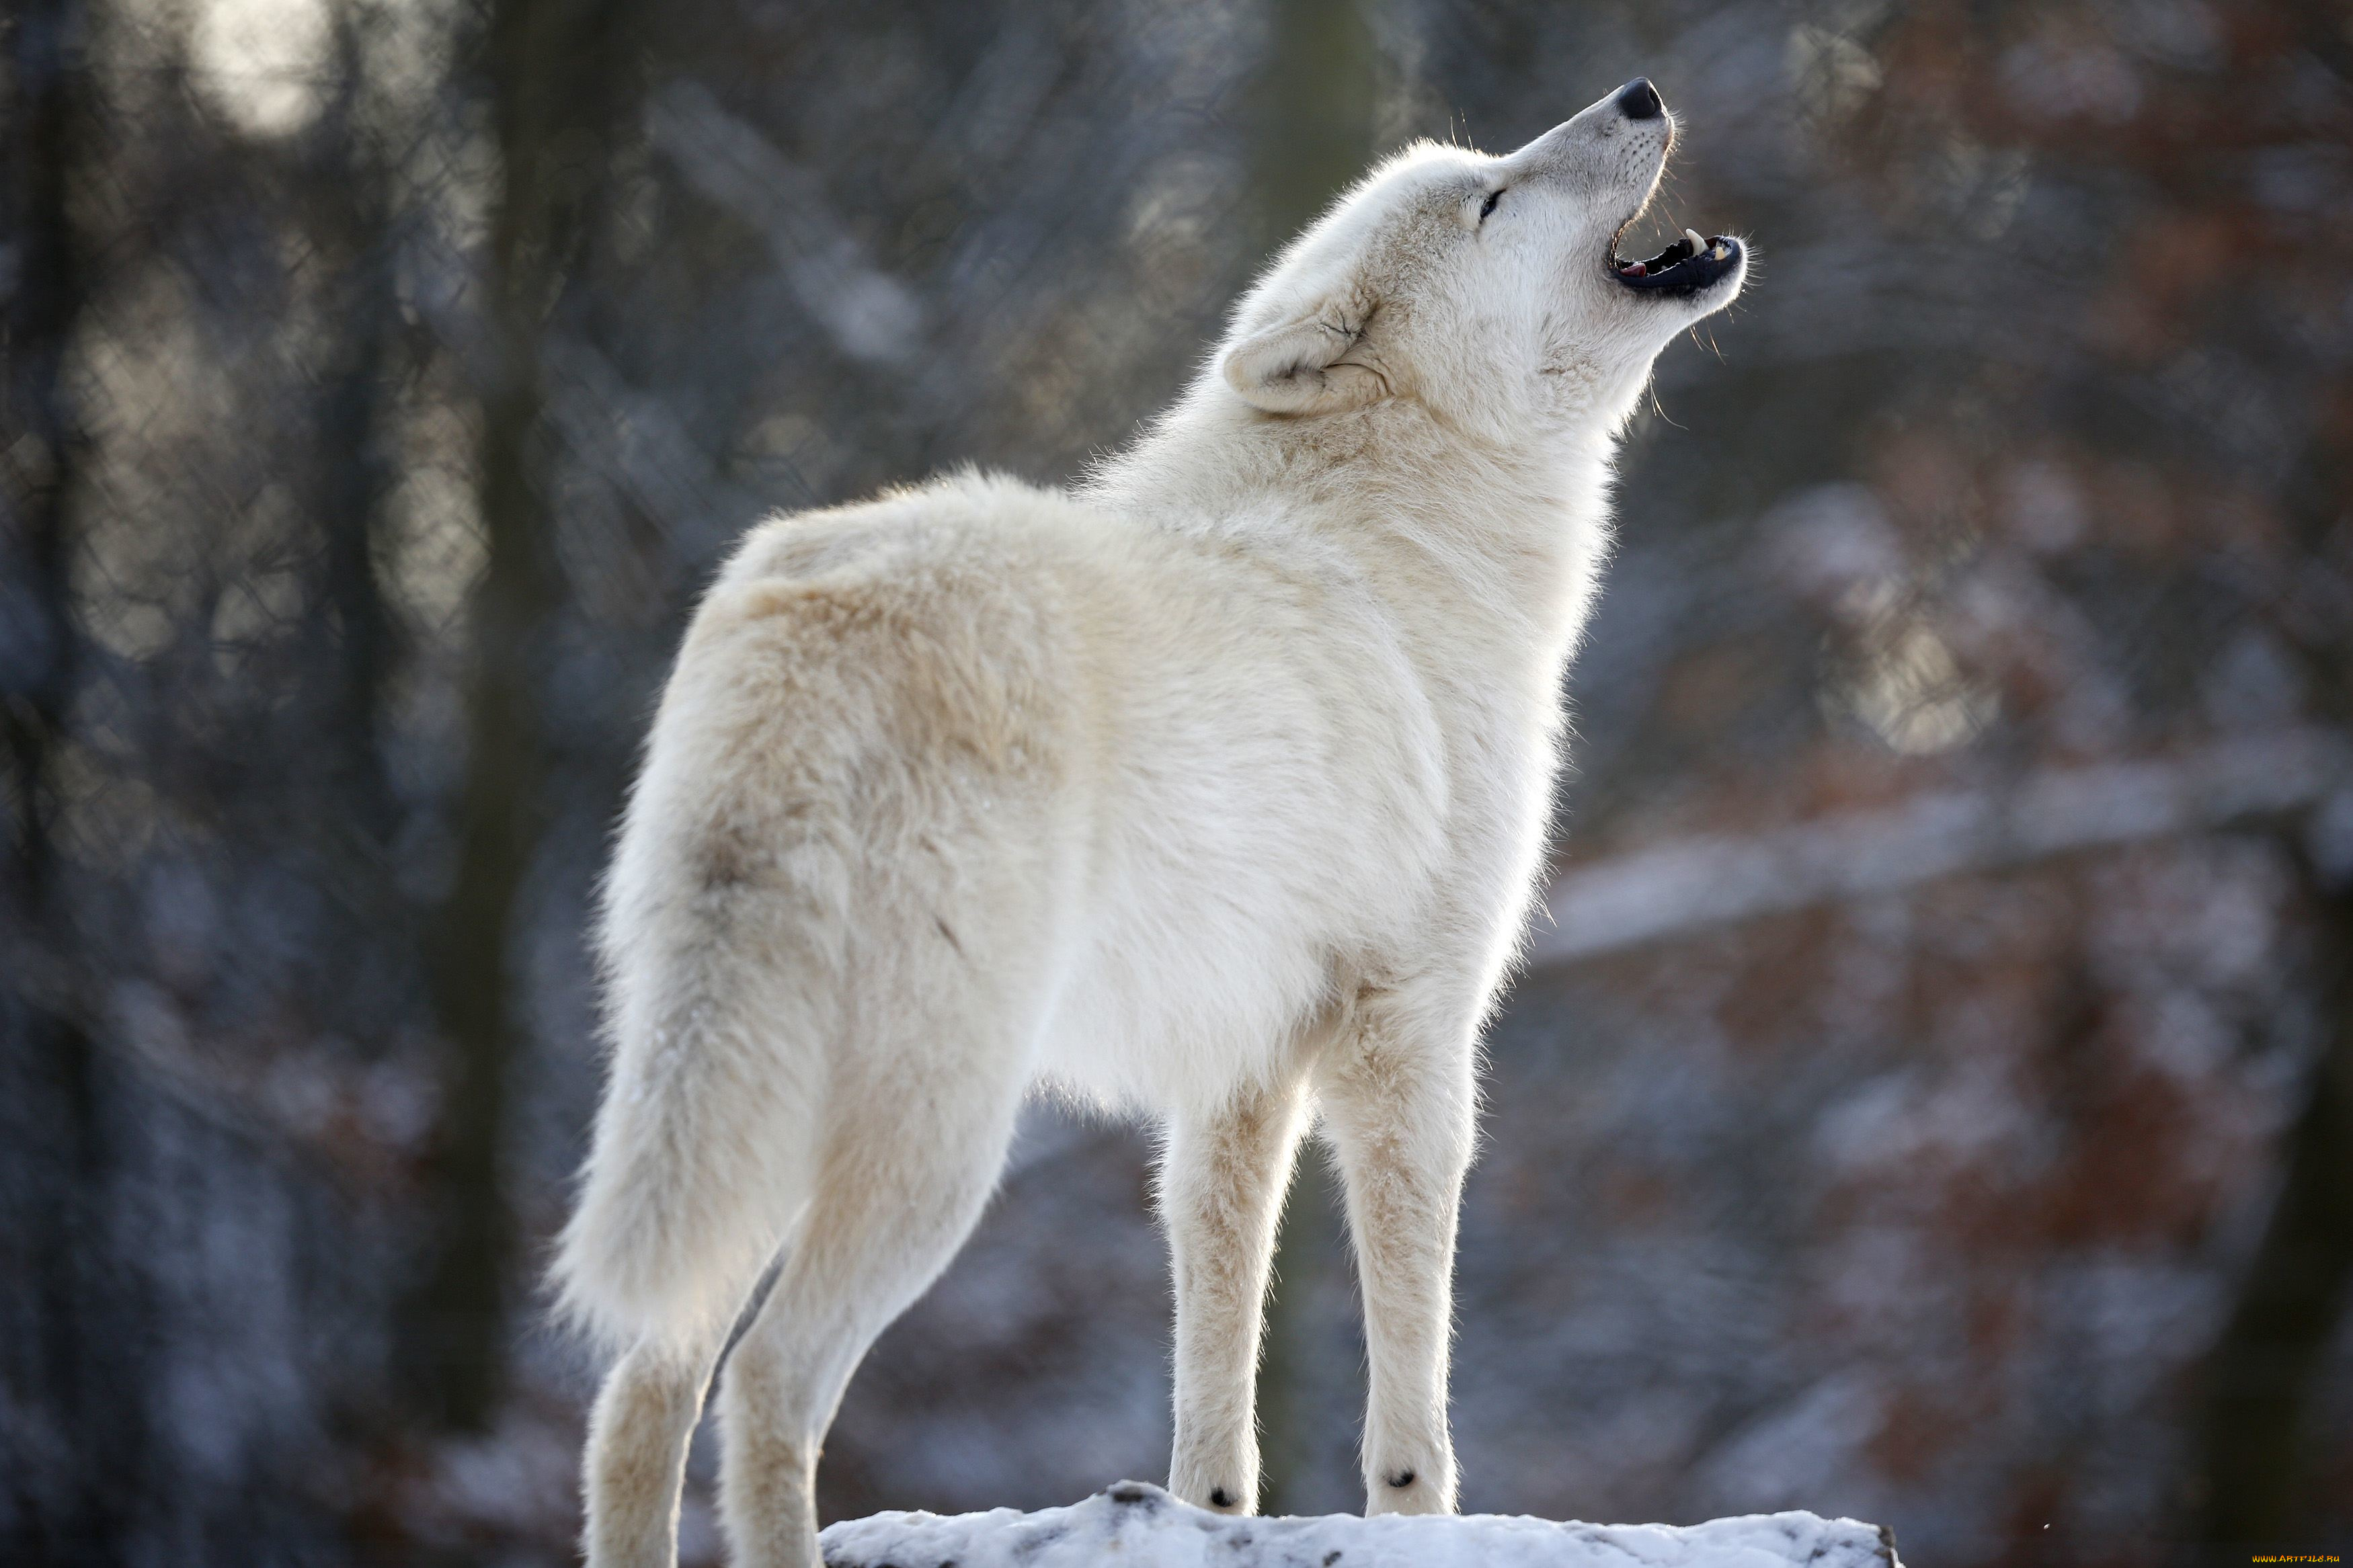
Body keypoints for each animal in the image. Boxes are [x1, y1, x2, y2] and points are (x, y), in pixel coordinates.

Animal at [555, 75, 1746, 1568]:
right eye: (1492, 198)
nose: (1640, 91)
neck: (1408, 530)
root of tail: (810, 618)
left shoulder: (1238, 1062)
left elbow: (1216, 1323)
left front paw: (1204, 1510)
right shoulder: (1409, 1028)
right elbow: (1411, 1358)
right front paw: (1416, 1513)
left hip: (748, 1113)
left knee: (637, 1388)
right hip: (936, 1142)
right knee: (766, 1380)